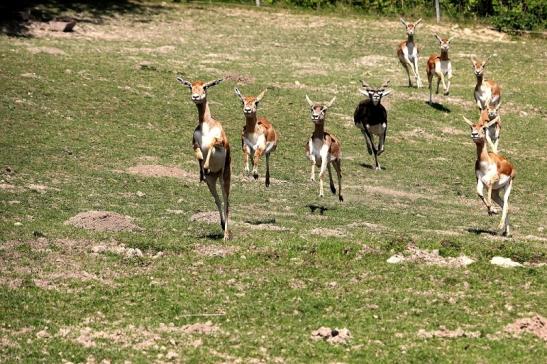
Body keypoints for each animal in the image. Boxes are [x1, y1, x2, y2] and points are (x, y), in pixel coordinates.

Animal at [178, 76, 231, 242]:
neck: (207, 126)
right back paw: (222, 225)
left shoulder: (221, 143)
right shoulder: (194, 143)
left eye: (205, 87)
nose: (196, 97)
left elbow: (212, 143)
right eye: (190, 87)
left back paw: (226, 235)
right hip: (211, 182)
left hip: (224, 178)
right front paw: (201, 168)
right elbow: (198, 152)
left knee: (226, 202)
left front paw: (206, 165)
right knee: (217, 200)